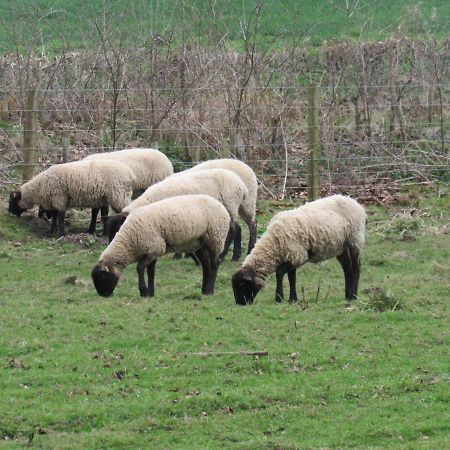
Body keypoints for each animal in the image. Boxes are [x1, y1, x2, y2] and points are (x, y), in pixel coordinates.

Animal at [92, 194, 232, 298]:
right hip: (199, 243)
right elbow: (151, 272)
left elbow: (140, 268)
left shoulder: (154, 248)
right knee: (206, 266)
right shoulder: (152, 251)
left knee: (214, 264)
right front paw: (150, 293)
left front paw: (143, 291)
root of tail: (221, 205)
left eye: (102, 278)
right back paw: (204, 290)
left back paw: (210, 290)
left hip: (215, 237)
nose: (104, 296)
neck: (130, 239)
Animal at [109, 168, 250, 260]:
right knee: (237, 228)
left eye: (119, 228)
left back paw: (224, 255)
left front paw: (178, 255)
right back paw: (236, 256)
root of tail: (242, 185)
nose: (111, 247)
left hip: (228, 208)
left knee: (233, 230)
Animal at [232, 196, 366, 306]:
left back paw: (353, 295)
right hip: (341, 246)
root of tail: (357, 204)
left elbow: (279, 273)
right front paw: (293, 299)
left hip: (355, 239)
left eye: (242, 286)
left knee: (357, 267)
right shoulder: (292, 256)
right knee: (347, 269)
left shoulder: (297, 255)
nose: (240, 304)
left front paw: (279, 298)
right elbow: (292, 278)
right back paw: (347, 296)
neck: (274, 243)